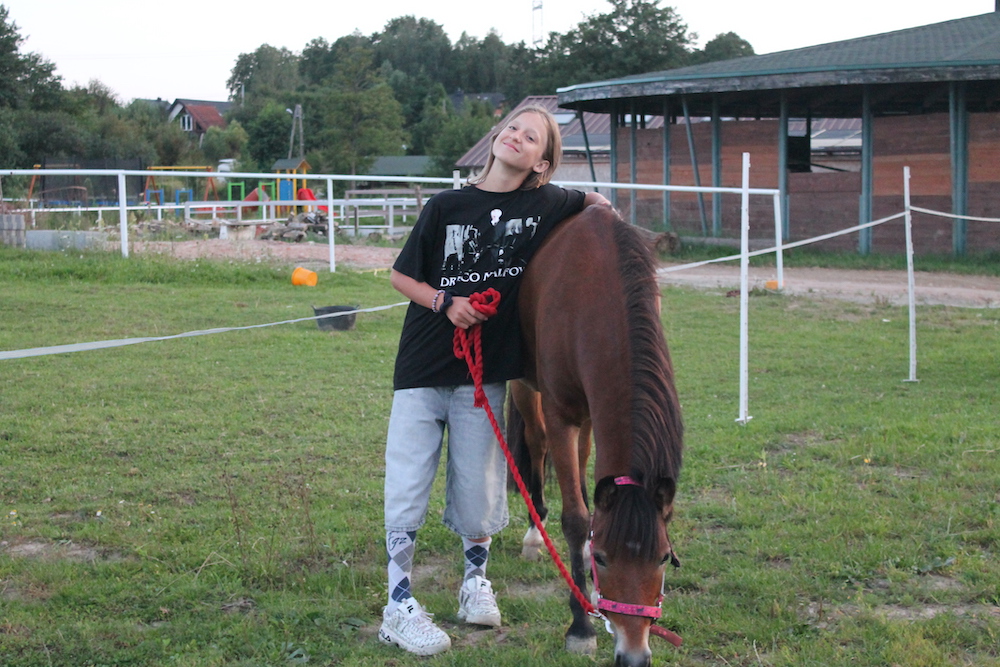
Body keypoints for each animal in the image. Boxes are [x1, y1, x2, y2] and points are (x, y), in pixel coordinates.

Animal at [508, 204, 683, 667]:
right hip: (525, 389)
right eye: (604, 559)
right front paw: (580, 628)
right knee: (535, 445)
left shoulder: (590, 410)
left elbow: (587, 496)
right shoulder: (560, 414)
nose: (634, 655)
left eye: (662, 558)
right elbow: (574, 518)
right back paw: (534, 533)